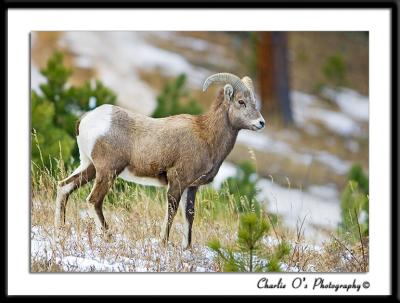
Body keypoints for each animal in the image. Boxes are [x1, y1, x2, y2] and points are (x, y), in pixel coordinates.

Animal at [54, 73, 266, 249]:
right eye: (241, 101)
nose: (261, 123)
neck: (206, 137)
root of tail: (85, 119)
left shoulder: (192, 187)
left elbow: (189, 215)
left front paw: (187, 248)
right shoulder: (177, 182)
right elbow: (171, 213)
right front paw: (164, 243)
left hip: (89, 167)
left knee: (64, 187)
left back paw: (61, 228)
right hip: (107, 172)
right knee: (94, 200)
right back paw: (108, 236)